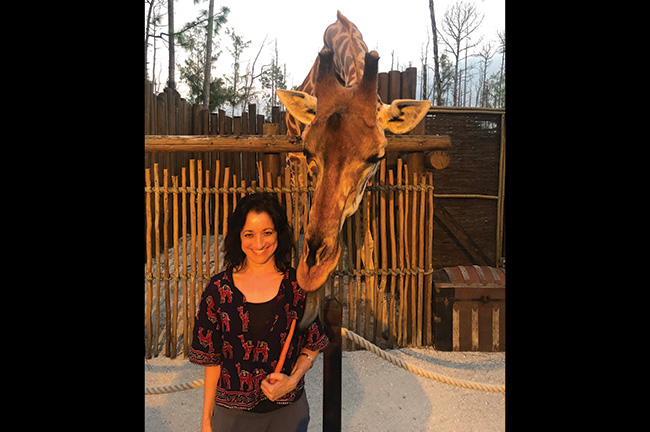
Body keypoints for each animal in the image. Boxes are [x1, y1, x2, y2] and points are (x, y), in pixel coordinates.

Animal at [274, 10, 430, 322]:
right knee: (297, 215)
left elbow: (365, 242)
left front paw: (376, 312)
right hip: (294, 169)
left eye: (376, 156)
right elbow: (314, 223)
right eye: (308, 148)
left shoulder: (364, 188)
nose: (313, 269)